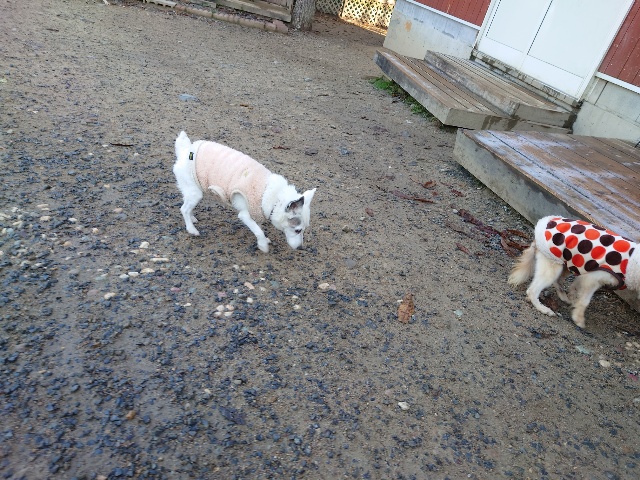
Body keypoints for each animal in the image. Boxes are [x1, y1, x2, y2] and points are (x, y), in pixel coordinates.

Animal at [173, 131, 316, 253]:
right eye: (298, 230)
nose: (300, 248)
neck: (275, 198)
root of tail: (185, 150)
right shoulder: (245, 215)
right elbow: (258, 231)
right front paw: (263, 245)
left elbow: (258, 227)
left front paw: (264, 240)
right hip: (195, 193)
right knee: (183, 209)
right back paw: (191, 229)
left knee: (187, 206)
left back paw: (192, 218)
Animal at [508, 215, 639, 328]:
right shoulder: (592, 279)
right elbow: (584, 301)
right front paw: (578, 318)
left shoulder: (584, 275)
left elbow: (575, 287)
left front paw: (573, 296)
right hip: (553, 266)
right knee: (533, 290)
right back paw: (543, 309)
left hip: (566, 264)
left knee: (558, 282)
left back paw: (564, 297)